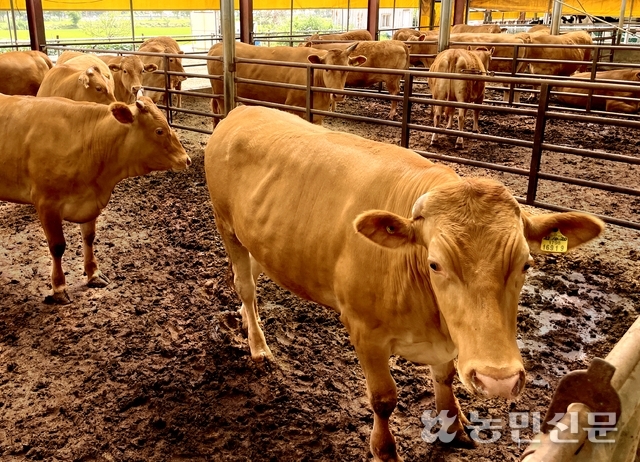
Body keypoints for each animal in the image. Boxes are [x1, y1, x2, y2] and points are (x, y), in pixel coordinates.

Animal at [0, 94, 190, 304]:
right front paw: (59, 288)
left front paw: (94, 275)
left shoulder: (90, 202)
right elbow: (57, 247)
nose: (186, 160)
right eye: (159, 130)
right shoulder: (46, 204)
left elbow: (89, 238)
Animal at [204, 104, 604, 462]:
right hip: (227, 227)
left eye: (526, 263)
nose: (499, 380)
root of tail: (241, 111)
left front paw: (453, 426)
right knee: (245, 286)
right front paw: (385, 450)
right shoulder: (364, 330)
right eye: (435, 264)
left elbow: (445, 378)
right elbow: (383, 399)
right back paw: (258, 346)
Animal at [205, 41, 364, 126]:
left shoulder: (318, 117)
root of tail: (218, 45)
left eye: (347, 69)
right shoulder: (292, 108)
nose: (338, 95)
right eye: (326, 68)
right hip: (221, 95)